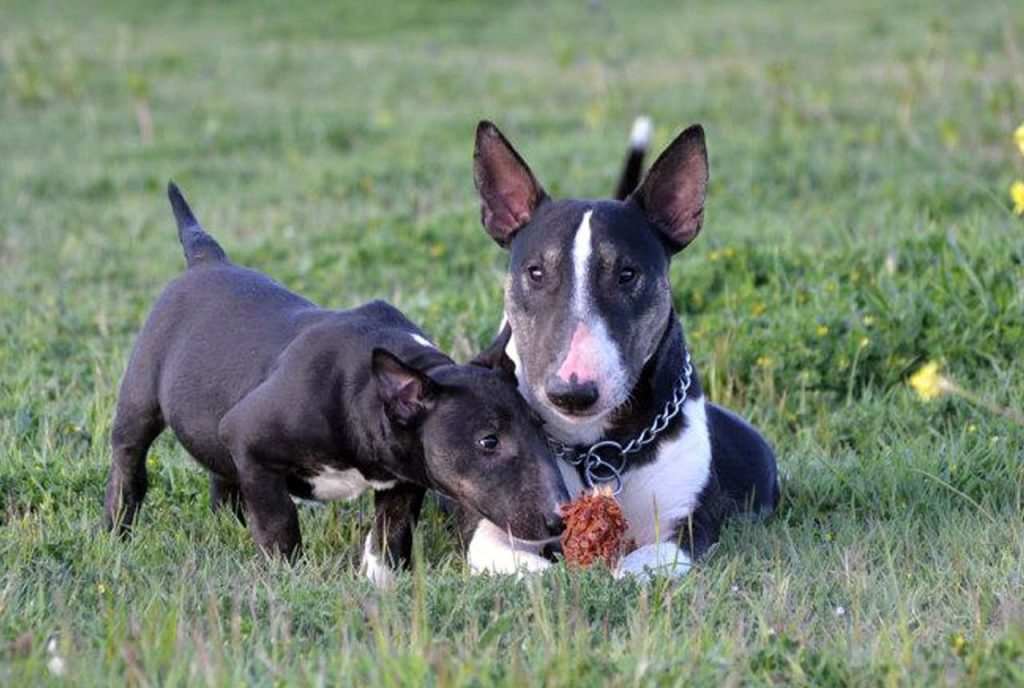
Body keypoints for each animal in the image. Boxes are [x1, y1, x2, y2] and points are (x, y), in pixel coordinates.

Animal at [103, 181, 569, 581]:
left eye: (541, 427)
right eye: (488, 442)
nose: (559, 518)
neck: (366, 389)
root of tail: (206, 259)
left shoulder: (403, 477)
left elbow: (391, 532)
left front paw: (383, 583)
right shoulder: (247, 436)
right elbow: (278, 520)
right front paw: (288, 574)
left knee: (220, 472)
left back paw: (226, 524)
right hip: (141, 396)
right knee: (129, 462)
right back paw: (115, 532)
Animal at [468, 119, 778, 581]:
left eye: (627, 274)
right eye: (536, 272)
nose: (572, 393)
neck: (597, 450)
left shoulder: (683, 527)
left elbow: (633, 568)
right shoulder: (493, 525)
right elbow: (521, 561)